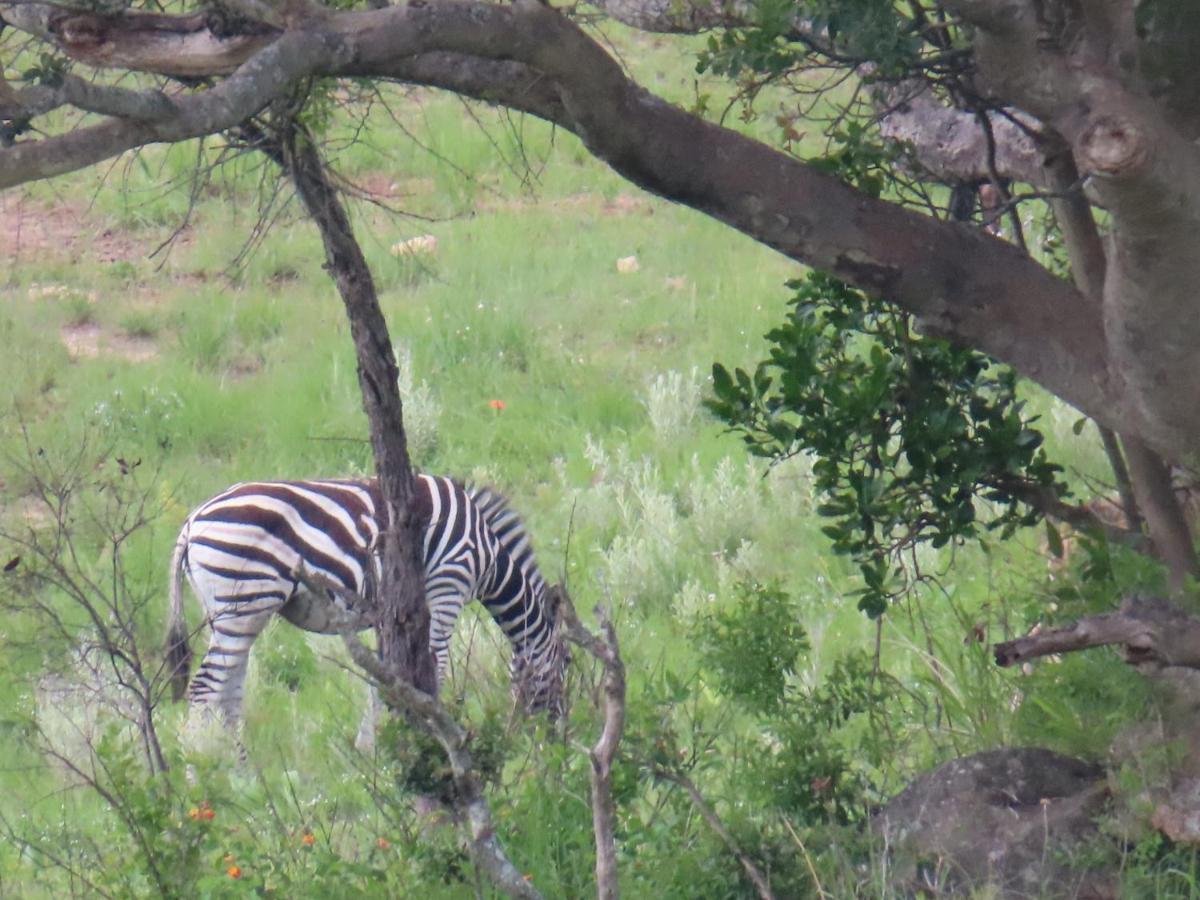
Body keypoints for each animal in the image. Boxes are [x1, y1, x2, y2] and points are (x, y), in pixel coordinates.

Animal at [165, 475, 571, 729]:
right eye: (567, 662)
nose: (555, 732)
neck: (488, 556)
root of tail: (191, 522)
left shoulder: (390, 616)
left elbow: (386, 681)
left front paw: (376, 748)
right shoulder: (446, 586)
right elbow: (435, 669)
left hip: (231, 614)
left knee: (229, 696)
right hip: (244, 601)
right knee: (205, 690)